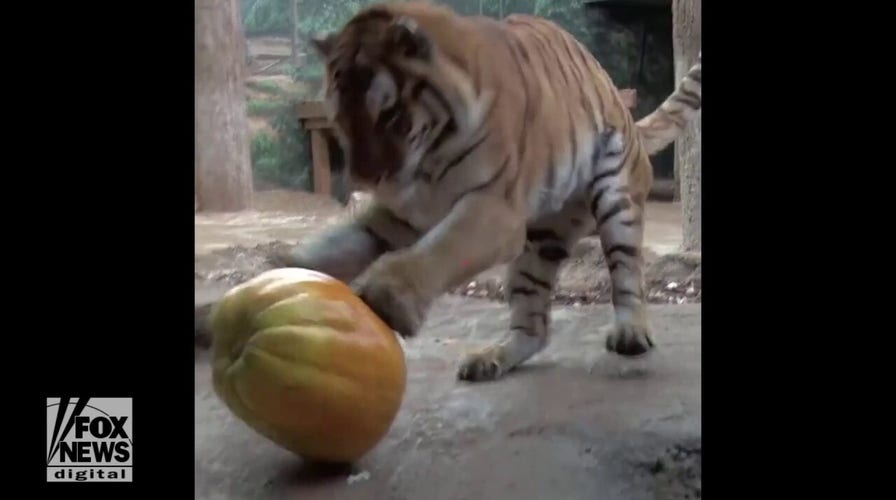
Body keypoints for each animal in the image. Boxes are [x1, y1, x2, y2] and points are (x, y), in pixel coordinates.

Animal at [270, 1, 702, 382]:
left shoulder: (492, 209)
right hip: (539, 243)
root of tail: (619, 100)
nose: (365, 179)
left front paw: (389, 298)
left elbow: (442, 249)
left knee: (627, 273)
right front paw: (282, 277)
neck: (428, 162)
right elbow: (336, 245)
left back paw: (631, 334)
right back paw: (490, 359)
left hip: (616, 202)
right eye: (340, 118)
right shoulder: (399, 215)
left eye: (389, 115)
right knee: (534, 326)